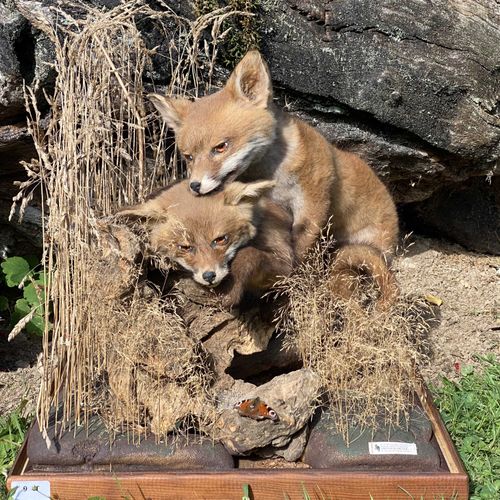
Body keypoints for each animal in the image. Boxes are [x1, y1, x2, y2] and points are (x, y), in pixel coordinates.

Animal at [118, 179, 292, 304]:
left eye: (220, 239)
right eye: (185, 247)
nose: (209, 276)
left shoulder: (287, 267)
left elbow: (248, 254)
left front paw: (230, 293)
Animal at [148, 51, 398, 308]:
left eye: (221, 147)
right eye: (188, 156)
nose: (195, 186)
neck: (273, 175)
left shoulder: (312, 203)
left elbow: (299, 250)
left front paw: (295, 281)